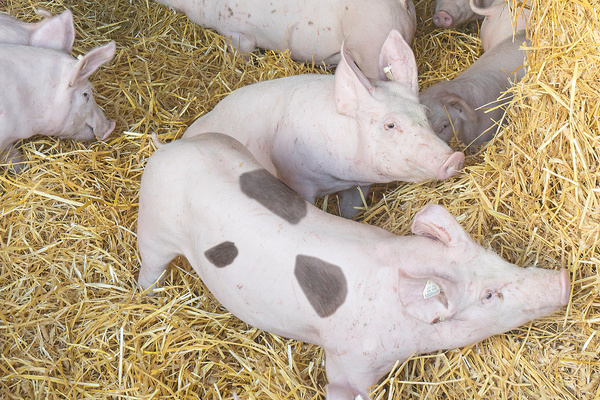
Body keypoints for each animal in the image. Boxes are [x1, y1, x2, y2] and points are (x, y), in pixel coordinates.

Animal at [137, 133, 572, 400]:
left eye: (496, 257)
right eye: (489, 296)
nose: (564, 279)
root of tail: (169, 146)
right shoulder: (349, 360)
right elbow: (344, 387)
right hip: (154, 227)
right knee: (149, 265)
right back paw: (148, 295)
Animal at [182, 30, 464, 219]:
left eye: (425, 115)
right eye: (391, 125)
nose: (455, 157)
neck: (338, 177)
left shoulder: (360, 184)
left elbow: (351, 209)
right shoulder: (296, 179)